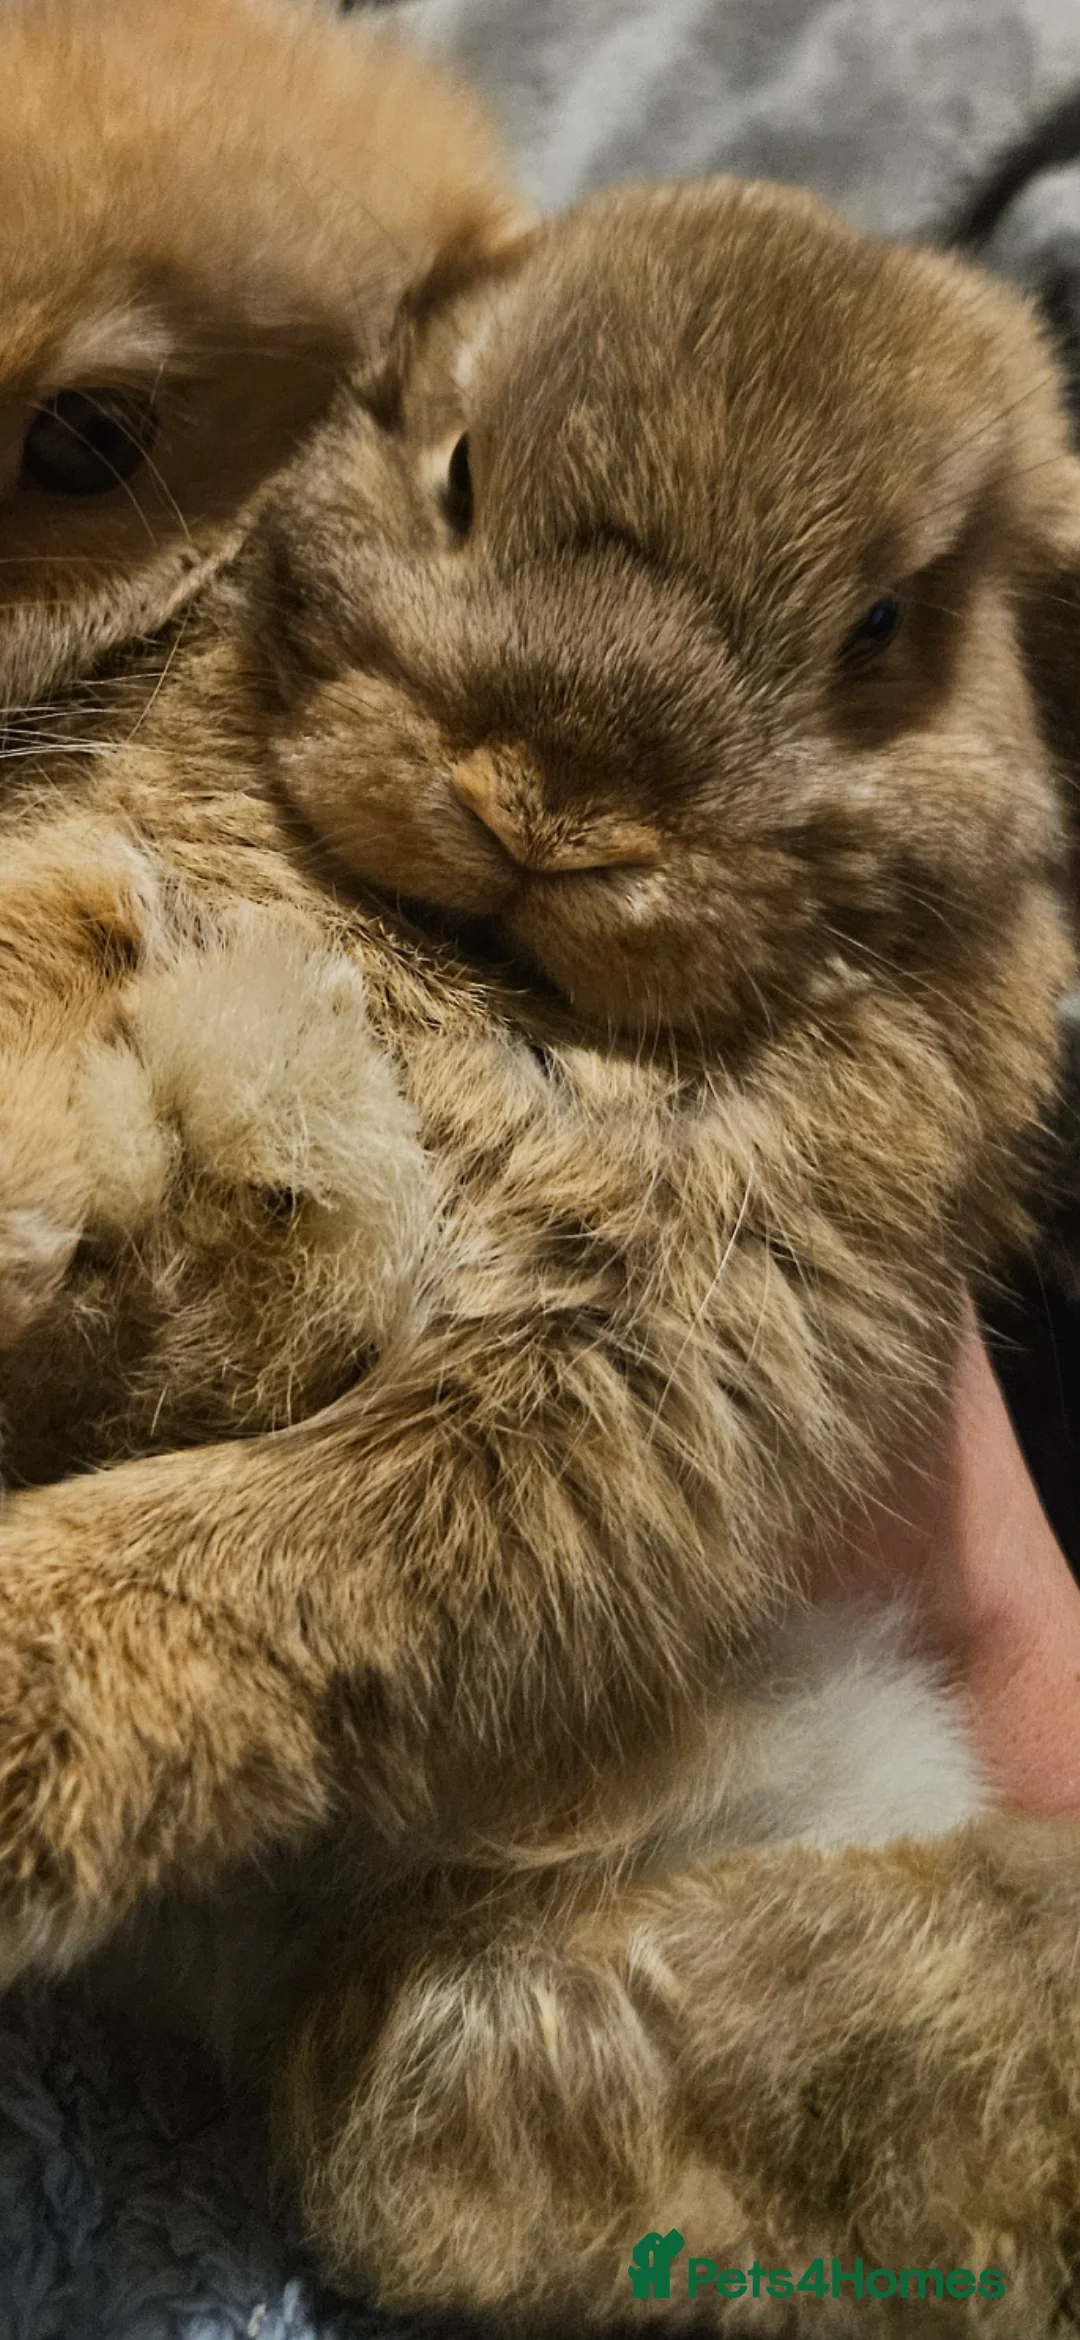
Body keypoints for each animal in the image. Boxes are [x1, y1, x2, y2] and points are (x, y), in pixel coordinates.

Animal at [1, 167, 1080, 2332]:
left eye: (887, 631)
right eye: (458, 475)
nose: (553, 805)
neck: (484, 967)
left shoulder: (646, 1380)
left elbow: (299, 1554)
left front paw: (20, 1711)